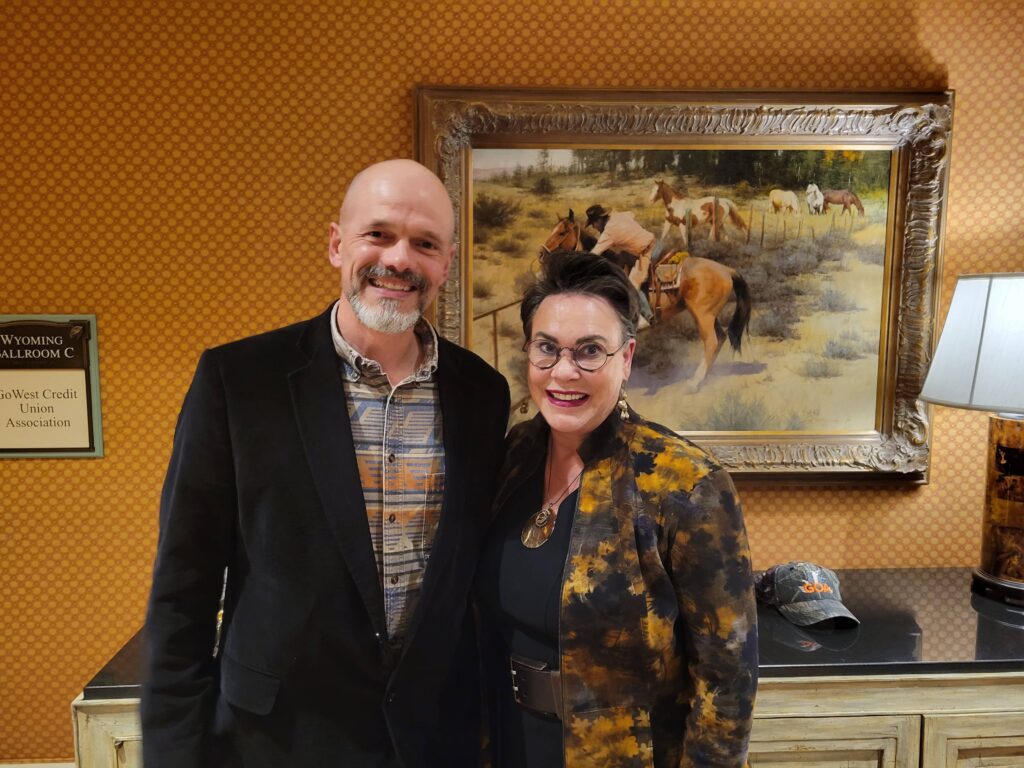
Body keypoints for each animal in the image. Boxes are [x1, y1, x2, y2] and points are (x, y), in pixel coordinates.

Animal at [544, 210, 753, 391]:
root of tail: (726, 270)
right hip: (708, 315)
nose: (543, 253)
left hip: (703, 315)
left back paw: (694, 382)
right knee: (720, 338)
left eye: (562, 232)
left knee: (711, 342)